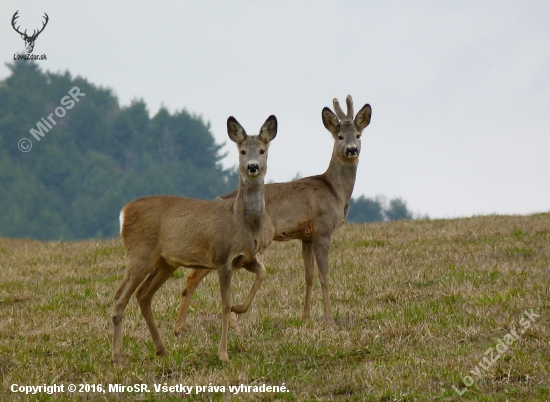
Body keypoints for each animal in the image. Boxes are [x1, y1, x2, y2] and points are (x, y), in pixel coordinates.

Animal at [112, 114, 278, 366]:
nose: (252, 166)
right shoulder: (222, 256)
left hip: (165, 263)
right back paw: (119, 358)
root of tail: (123, 212)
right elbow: (224, 304)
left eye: (262, 150)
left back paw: (162, 350)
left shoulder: (246, 257)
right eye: (241, 151)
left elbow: (263, 273)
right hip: (140, 255)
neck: (241, 221)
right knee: (120, 299)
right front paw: (223, 353)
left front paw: (240, 307)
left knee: (143, 295)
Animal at [176, 94, 376, 332]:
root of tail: (220, 199)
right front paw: (330, 321)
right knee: (196, 275)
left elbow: (308, 276)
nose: (352, 149)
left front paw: (305, 318)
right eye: (339, 136)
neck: (335, 191)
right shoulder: (323, 230)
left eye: (358, 135)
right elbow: (324, 276)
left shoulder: (306, 236)